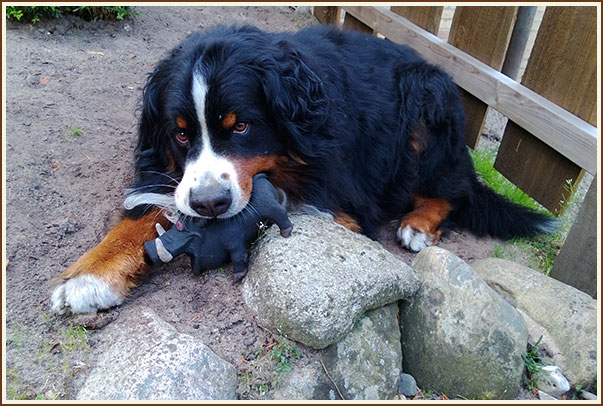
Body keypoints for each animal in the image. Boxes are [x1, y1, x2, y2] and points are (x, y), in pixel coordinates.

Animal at [50, 24, 554, 314]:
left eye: (242, 126)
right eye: (179, 133)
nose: (210, 204)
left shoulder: (336, 192)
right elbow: (149, 211)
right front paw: (89, 275)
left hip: (426, 103)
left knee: (454, 189)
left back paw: (418, 224)